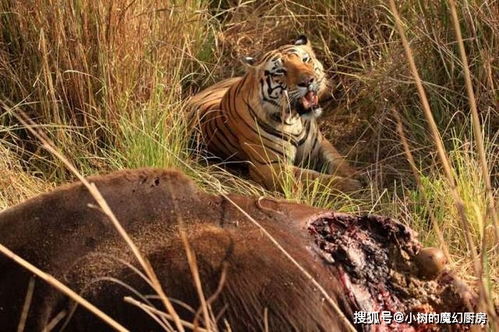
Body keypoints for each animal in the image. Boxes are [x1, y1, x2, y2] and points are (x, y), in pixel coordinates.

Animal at [188, 34, 364, 192]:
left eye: (305, 60)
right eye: (280, 71)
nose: (308, 81)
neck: (295, 119)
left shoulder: (322, 145)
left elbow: (341, 163)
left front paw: (359, 176)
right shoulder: (272, 168)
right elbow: (315, 178)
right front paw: (353, 186)